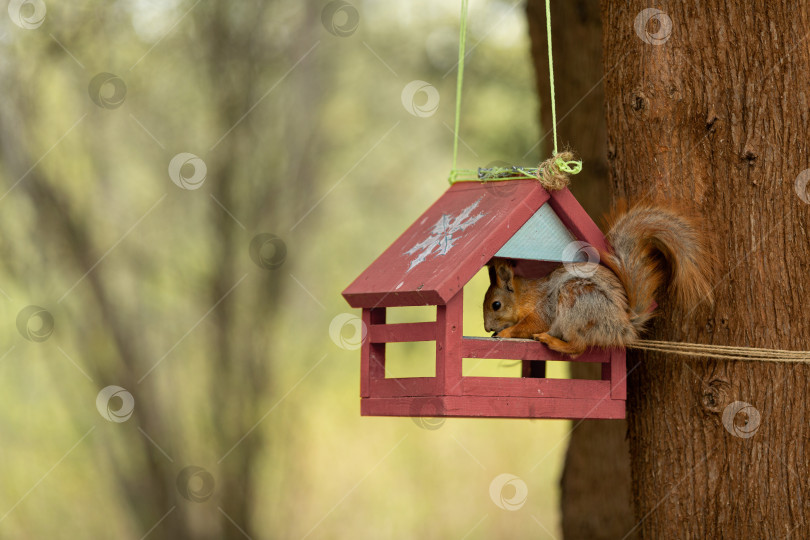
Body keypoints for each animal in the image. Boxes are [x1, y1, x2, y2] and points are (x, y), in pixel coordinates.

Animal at [482, 200, 712, 356]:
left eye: (496, 305)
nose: (487, 329)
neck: (525, 297)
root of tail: (623, 326)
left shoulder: (542, 311)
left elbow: (530, 326)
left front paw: (505, 332)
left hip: (577, 303)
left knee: (578, 347)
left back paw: (552, 341)